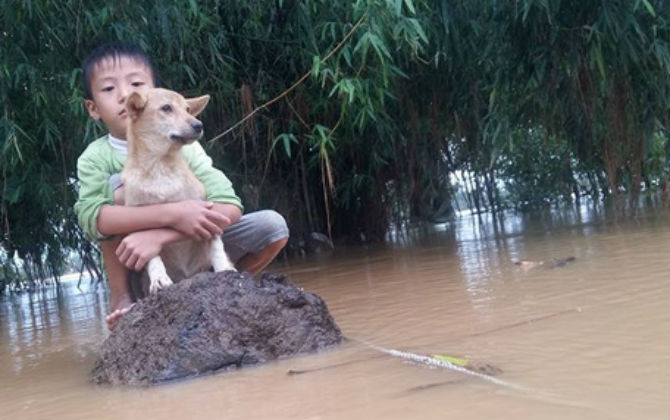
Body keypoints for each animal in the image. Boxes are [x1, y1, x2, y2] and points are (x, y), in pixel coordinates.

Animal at [122, 86, 236, 296]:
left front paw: (224, 268)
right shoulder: (139, 221)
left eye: (188, 109)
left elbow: (216, 245)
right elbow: (152, 257)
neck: (159, 167)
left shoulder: (208, 212)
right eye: (166, 108)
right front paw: (159, 278)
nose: (199, 125)